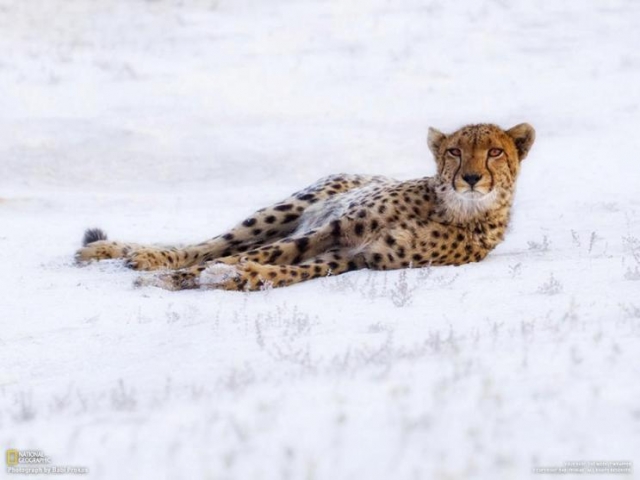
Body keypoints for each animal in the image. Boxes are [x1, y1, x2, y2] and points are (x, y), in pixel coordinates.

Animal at [75, 122, 536, 290]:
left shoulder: (360, 255)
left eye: (495, 151)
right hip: (284, 212)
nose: (471, 178)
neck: (455, 208)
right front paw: (179, 277)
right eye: (455, 151)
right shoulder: (335, 229)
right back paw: (125, 254)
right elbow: (244, 255)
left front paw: (239, 278)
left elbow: (290, 269)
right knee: (209, 243)